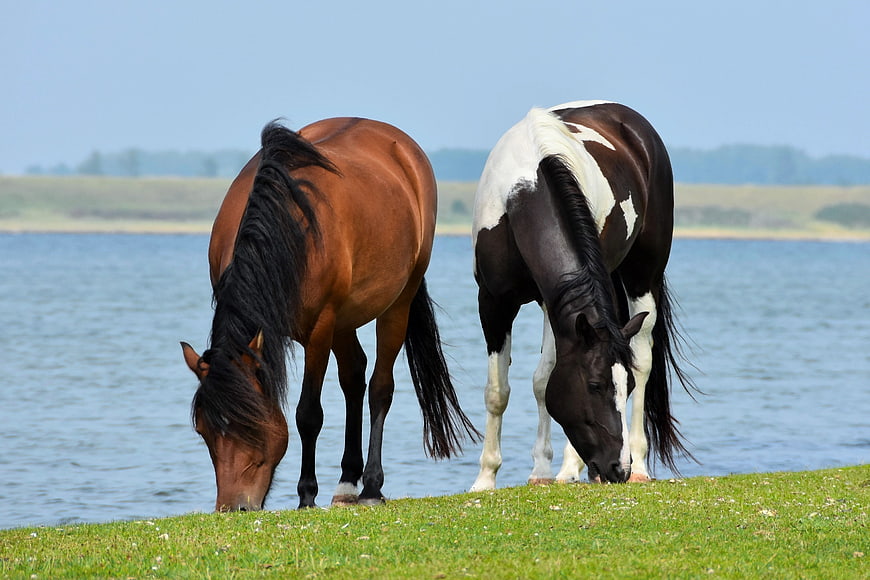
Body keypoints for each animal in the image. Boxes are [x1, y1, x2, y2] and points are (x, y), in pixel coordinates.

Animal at [181, 118, 478, 510]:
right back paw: (347, 482)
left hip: (395, 304)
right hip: (345, 320)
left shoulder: (319, 329)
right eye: (203, 429)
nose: (234, 507)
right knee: (354, 375)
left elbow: (309, 414)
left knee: (379, 388)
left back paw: (370, 487)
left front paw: (306, 495)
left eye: (253, 423)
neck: (286, 229)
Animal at [469, 101, 693, 489]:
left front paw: (548, 470)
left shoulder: (552, 304)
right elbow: (498, 391)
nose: (619, 468)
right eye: (594, 385)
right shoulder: (493, 301)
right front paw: (486, 477)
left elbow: (543, 380)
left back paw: (627, 464)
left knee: (644, 358)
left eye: (625, 386)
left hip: (643, 274)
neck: (523, 190)